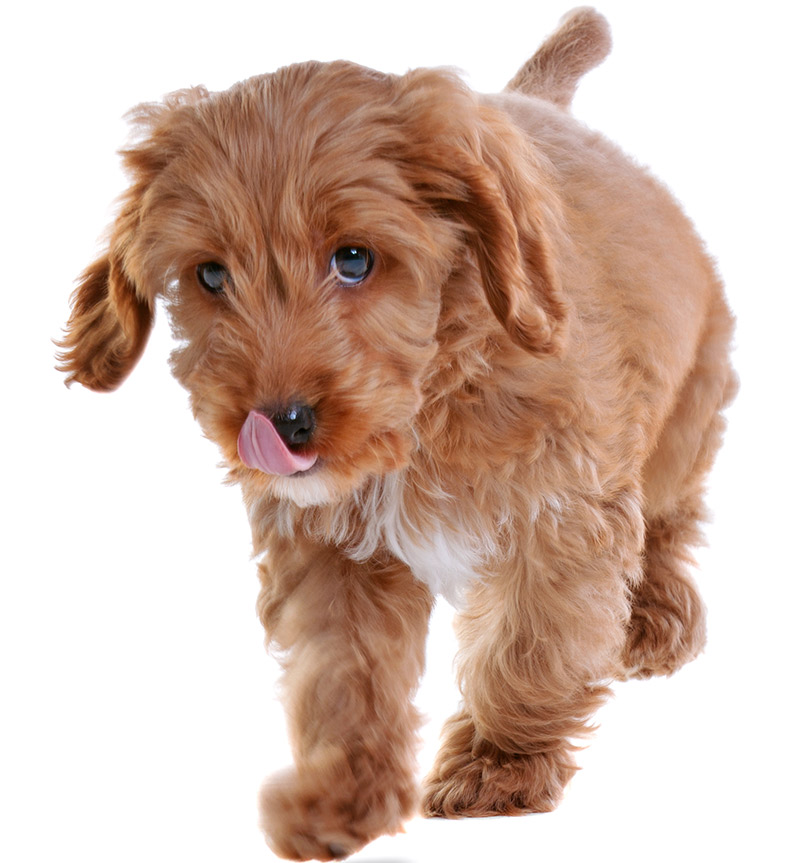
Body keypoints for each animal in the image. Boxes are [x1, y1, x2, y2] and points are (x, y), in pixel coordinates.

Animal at [59, 8, 736, 863]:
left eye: (354, 259)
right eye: (211, 276)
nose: (279, 423)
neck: (426, 407)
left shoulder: (561, 517)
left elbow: (530, 647)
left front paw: (500, 764)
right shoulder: (329, 550)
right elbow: (345, 675)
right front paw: (340, 796)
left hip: (685, 410)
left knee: (671, 514)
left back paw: (653, 615)